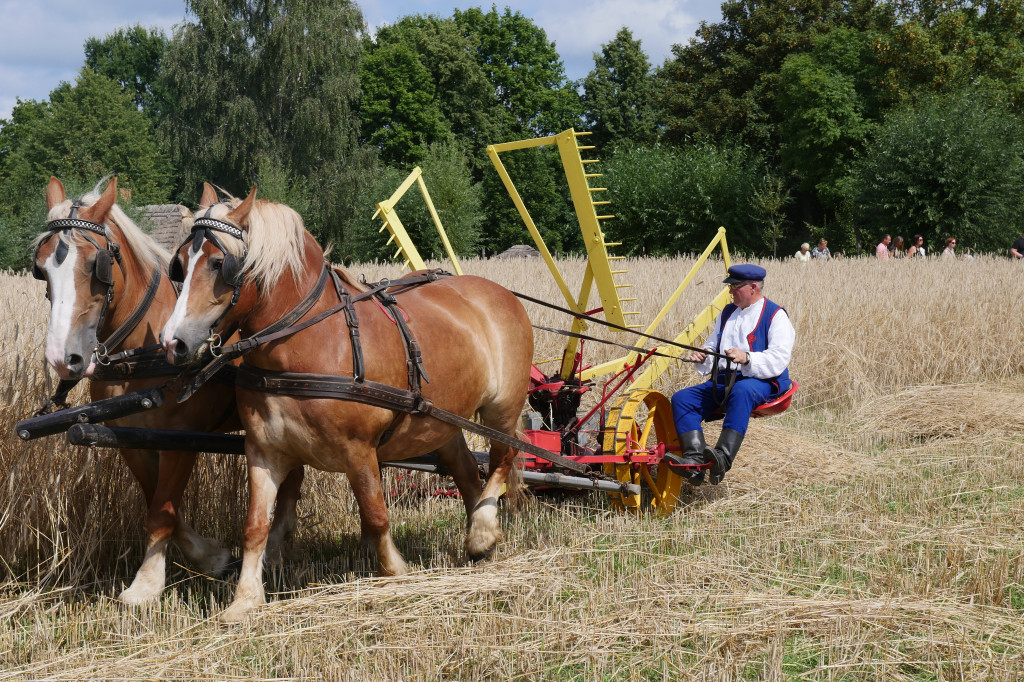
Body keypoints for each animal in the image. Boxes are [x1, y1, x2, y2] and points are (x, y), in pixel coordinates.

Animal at [32, 178, 301, 602]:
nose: (63, 358)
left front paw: (146, 584)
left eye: (96, 266)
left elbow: (162, 510)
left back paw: (274, 550)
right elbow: (157, 503)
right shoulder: (131, 439)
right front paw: (211, 557)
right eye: (41, 270)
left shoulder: (180, 439)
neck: (143, 353)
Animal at [161, 186, 536, 622]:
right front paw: (245, 600)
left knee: (503, 459)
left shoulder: (359, 451)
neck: (307, 343)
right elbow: (255, 526)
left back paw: (482, 532)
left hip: (502, 409)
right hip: (439, 421)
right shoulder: (264, 451)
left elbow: (375, 514)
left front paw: (394, 573)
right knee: (466, 471)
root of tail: (500, 293)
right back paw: (481, 536)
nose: (173, 343)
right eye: (179, 264)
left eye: (220, 263)